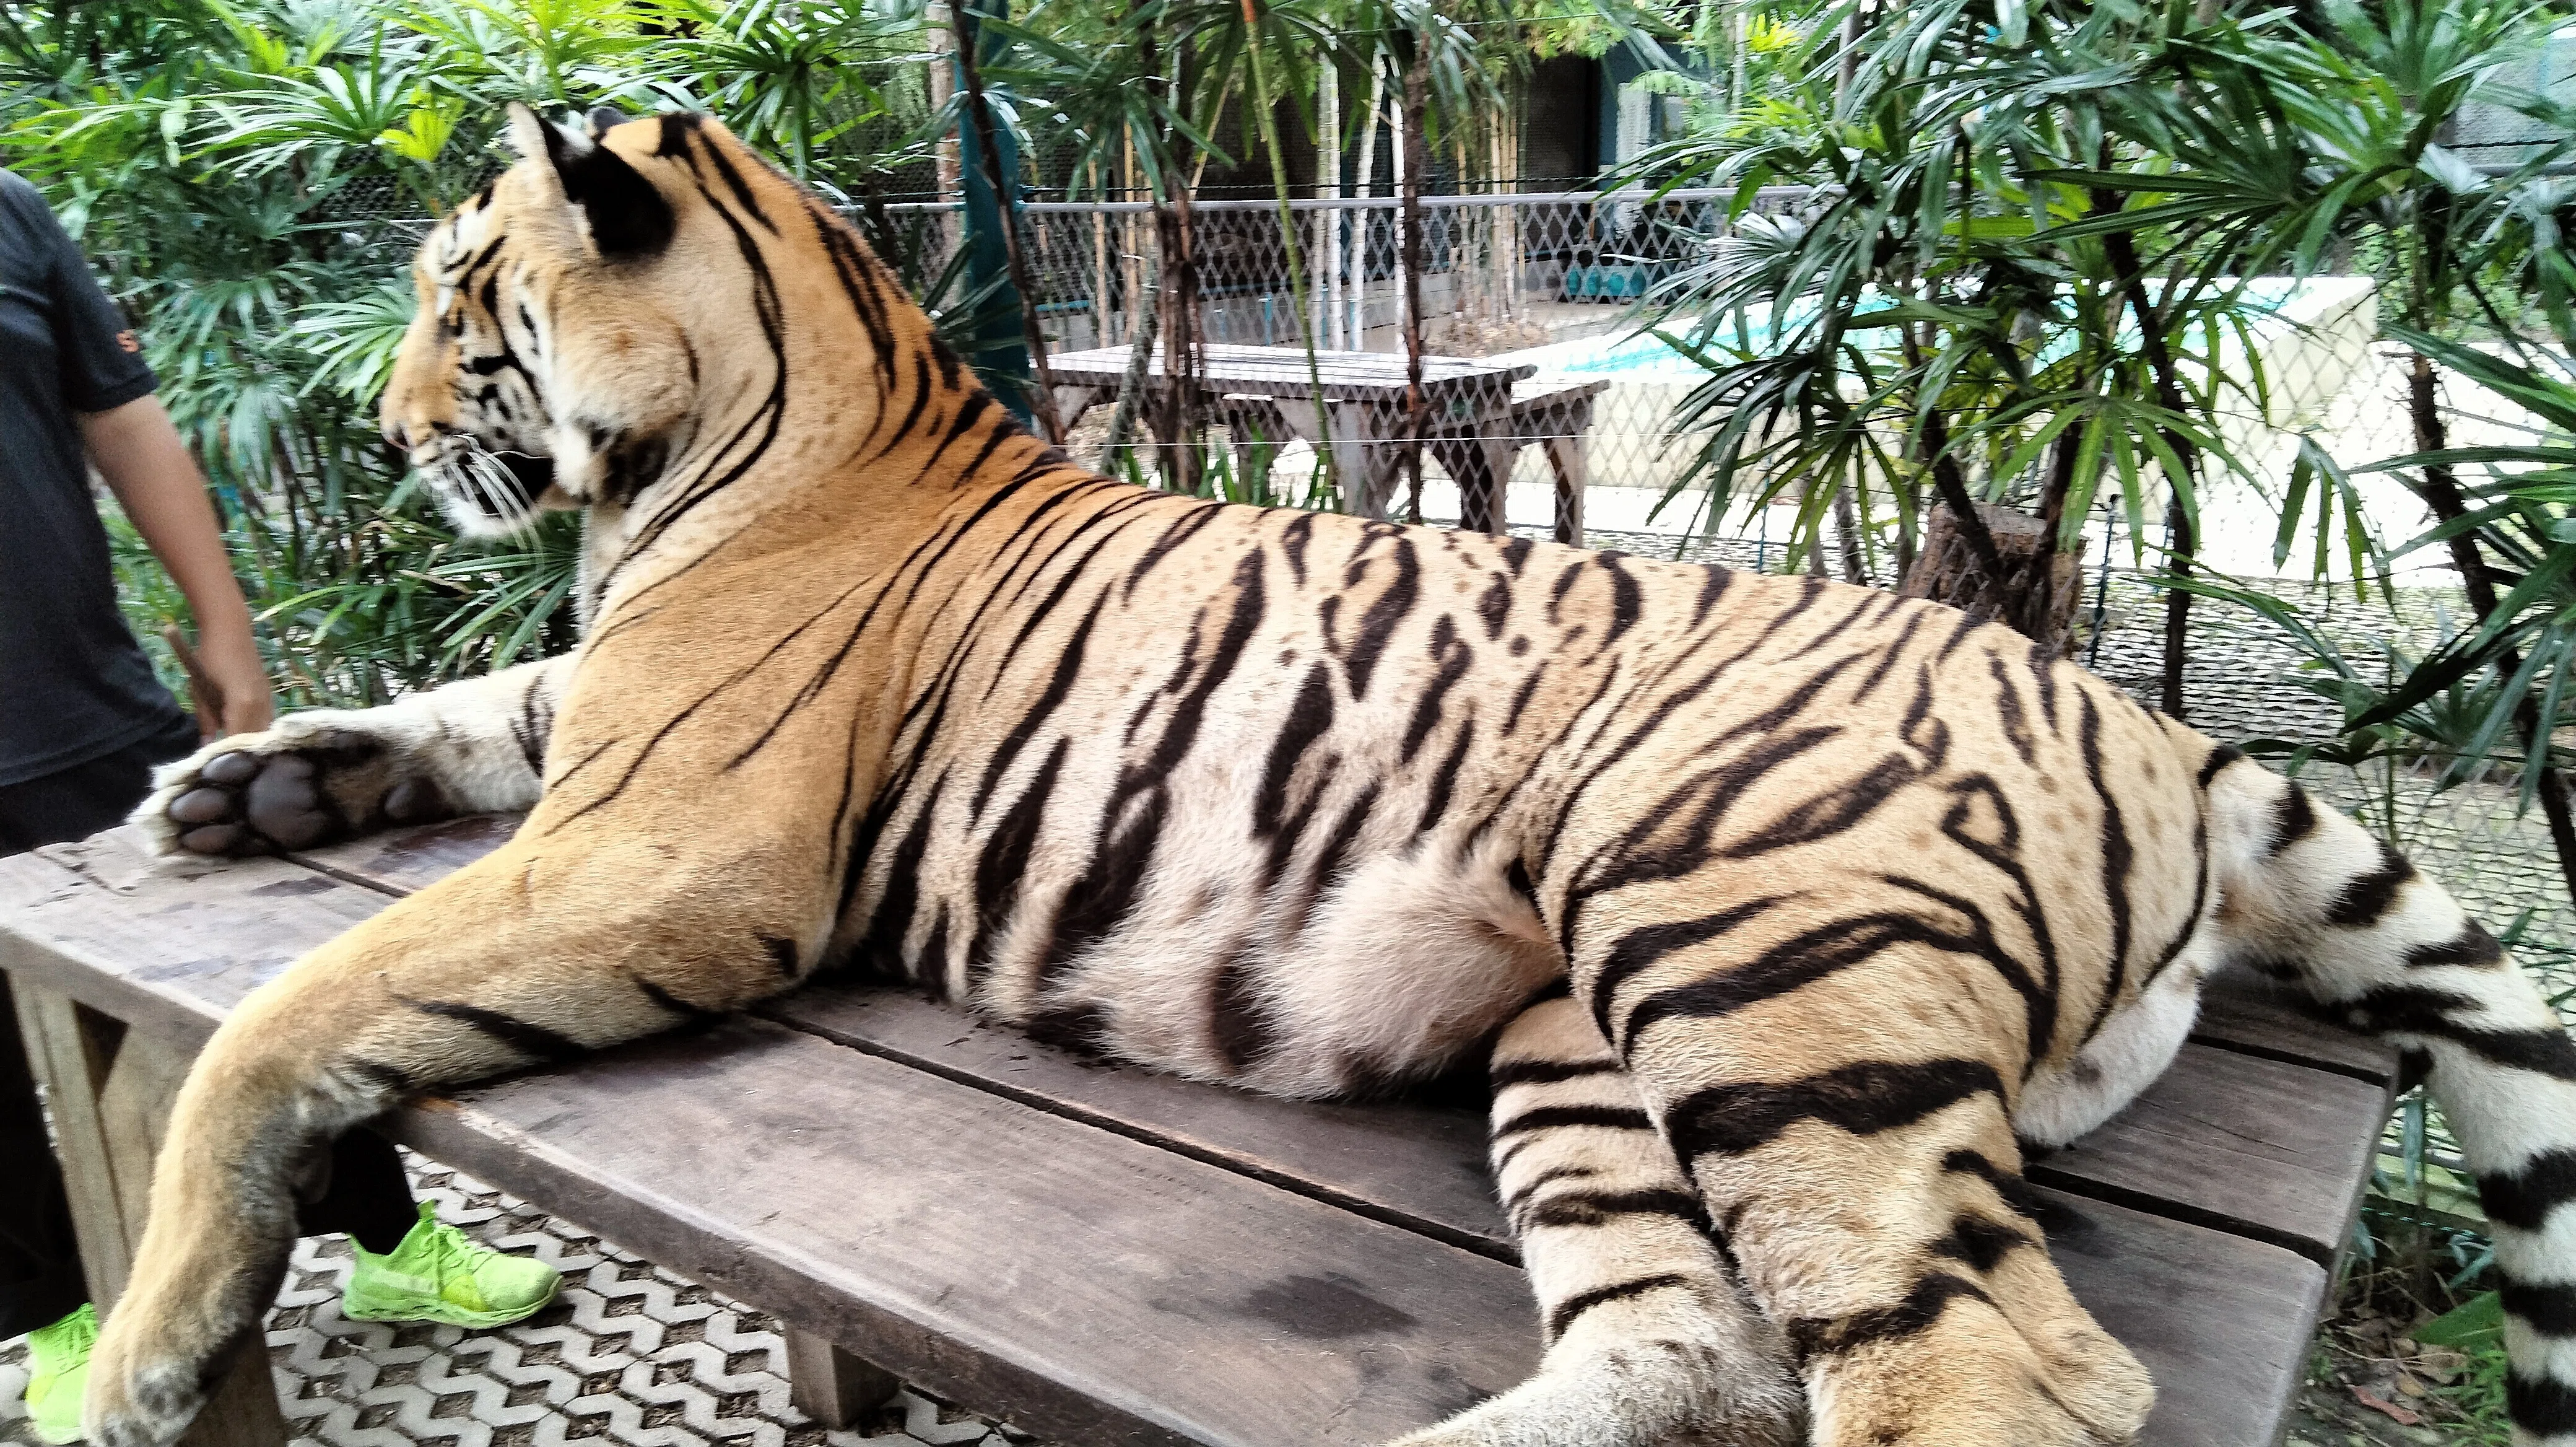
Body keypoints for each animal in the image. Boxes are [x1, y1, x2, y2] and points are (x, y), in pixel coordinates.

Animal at [78, 102, 2576, 1447]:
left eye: (456, 298)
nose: (387, 426)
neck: (736, 438)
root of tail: (2160, 723)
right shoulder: (599, 737)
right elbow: (462, 708)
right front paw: (241, 786)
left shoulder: (675, 834)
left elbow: (283, 1026)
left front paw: (139, 1354)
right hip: (1599, 1035)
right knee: (1692, 1355)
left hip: (1755, 949)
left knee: (1986, 1373)